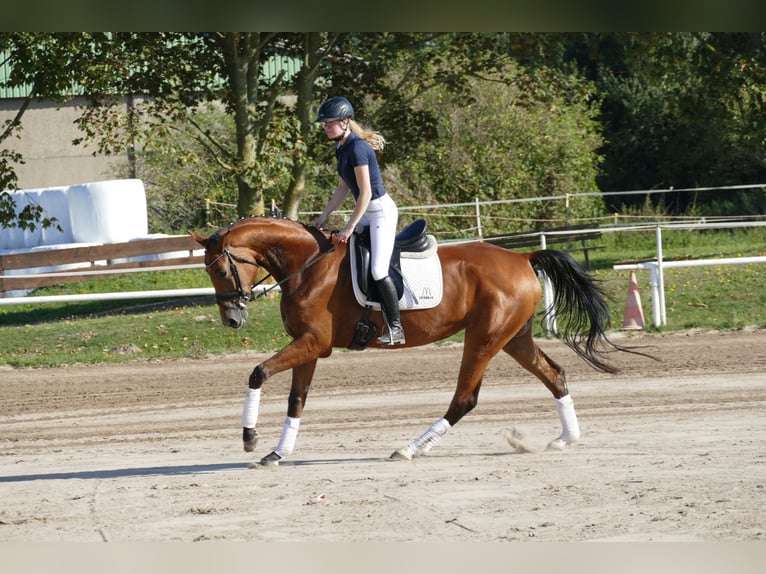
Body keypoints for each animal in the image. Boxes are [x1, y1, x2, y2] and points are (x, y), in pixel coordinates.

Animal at [190, 216, 648, 468]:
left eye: (222, 270)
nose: (232, 319)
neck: (307, 265)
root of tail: (522, 257)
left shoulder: (314, 342)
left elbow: (257, 372)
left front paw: (249, 437)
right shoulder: (308, 345)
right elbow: (296, 400)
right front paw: (276, 453)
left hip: (483, 338)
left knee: (465, 399)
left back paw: (410, 449)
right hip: (513, 337)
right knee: (554, 374)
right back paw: (566, 439)